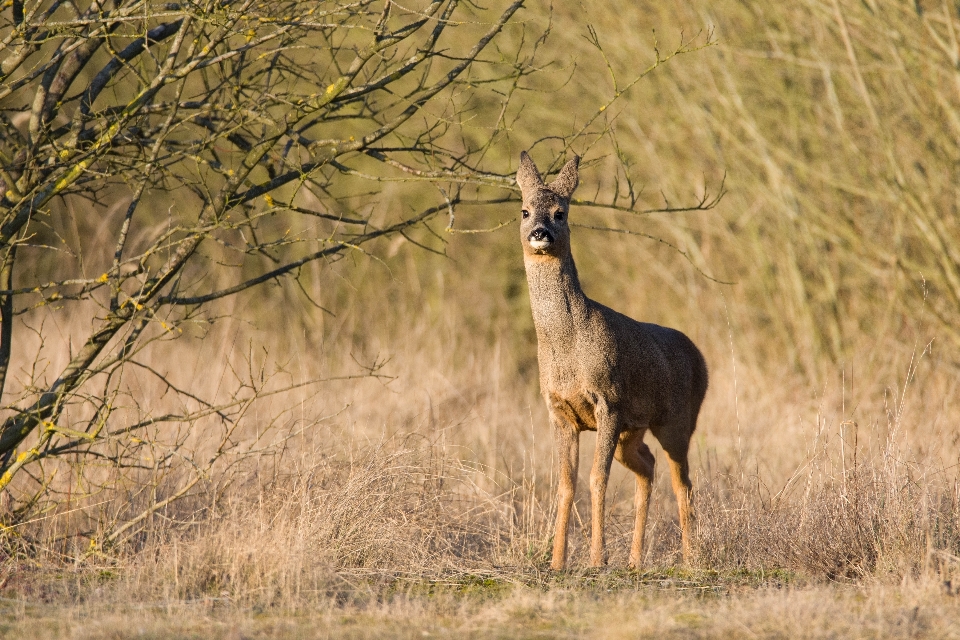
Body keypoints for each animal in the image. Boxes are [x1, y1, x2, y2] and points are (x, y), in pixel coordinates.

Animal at [516, 151, 712, 568]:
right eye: (524, 211)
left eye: (560, 212)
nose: (539, 232)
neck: (568, 346)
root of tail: (700, 356)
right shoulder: (561, 412)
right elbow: (566, 483)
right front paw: (557, 562)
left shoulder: (608, 402)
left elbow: (596, 478)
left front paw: (597, 559)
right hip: (632, 431)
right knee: (648, 466)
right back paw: (636, 561)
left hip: (678, 420)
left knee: (683, 481)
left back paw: (691, 560)